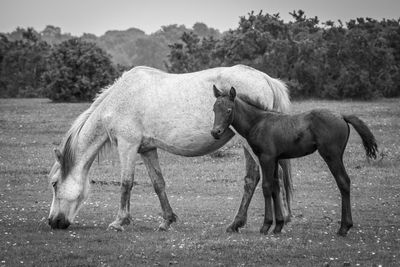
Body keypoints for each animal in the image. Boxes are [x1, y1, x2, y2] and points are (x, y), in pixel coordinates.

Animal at [48, 64, 292, 232]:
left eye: (54, 183)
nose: (53, 222)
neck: (121, 98)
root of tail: (265, 78)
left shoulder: (127, 145)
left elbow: (126, 183)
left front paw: (119, 222)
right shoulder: (146, 149)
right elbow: (158, 183)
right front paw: (167, 221)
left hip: (250, 147)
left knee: (265, 178)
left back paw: (261, 222)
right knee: (264, 178)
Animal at [212, 86, 378, 237]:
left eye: (228, 110)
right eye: (214, 109)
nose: (215, 132)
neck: (258, 122)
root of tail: (342, 116)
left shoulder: (266, 158)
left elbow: (266, 187)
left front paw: (266, 226)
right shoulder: (275, 159)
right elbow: (275, 188)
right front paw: (278, 226)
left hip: (332, 156)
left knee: (343, 181)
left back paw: (344, 228)